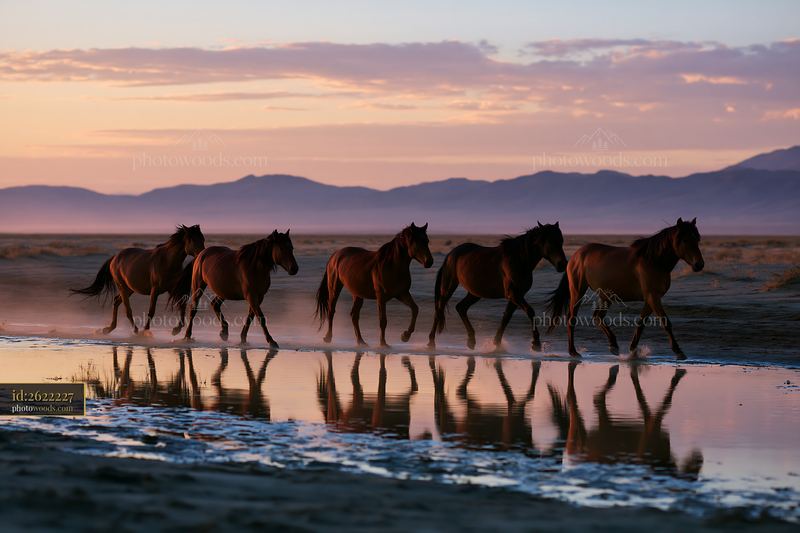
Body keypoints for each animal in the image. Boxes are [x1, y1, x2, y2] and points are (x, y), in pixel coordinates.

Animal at [71, 225, 205, 335]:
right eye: (192, 239)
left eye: (202, 239)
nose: (201, 253)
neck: (167, 261)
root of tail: (115, 257)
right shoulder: (155, 290)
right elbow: (151, 311)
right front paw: (145, 331)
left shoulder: (173, 288)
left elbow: (182, 305)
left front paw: (176, 329)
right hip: (122, 286)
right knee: (127, 309)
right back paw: (135, 330)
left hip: (130, 289)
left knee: (117, 301)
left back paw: (109, 329)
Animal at [427, 222, 567, 351]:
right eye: (550, 241)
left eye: (561, 241)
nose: (563, 264)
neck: (519, 260)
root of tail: (450, 255)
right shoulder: (514, 294)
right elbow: (530, 311)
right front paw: (536, 344)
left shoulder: (517, 296)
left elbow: (506, 317)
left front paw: (497, 343)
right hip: (449, 287)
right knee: (439, 309)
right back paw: (431, 342)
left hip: (475, 293)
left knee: (461, 307)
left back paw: (471, 341)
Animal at [547, 218, 704, 359]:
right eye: (685, 240)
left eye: (697, 239)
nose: (699, 264)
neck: (654, 261)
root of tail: (575, 256)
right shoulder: (653, 297)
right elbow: (665, 322)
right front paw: (679, 352)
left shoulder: (651, 299)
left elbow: (641, 324)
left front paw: (633, 350)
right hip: (578, 291)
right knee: (572, 318)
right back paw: (573, 352)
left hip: (606, 296)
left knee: (597, 317)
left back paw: (613, 346)